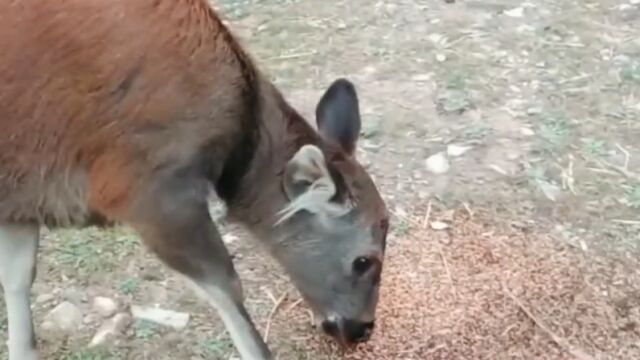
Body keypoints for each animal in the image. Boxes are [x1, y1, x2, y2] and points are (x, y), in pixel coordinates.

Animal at [0, 0, 390, 360]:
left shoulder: (23, 197)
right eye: (363, 260)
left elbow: (18, 277)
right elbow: (226, 287)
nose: (362, 328)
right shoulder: (146, 188)